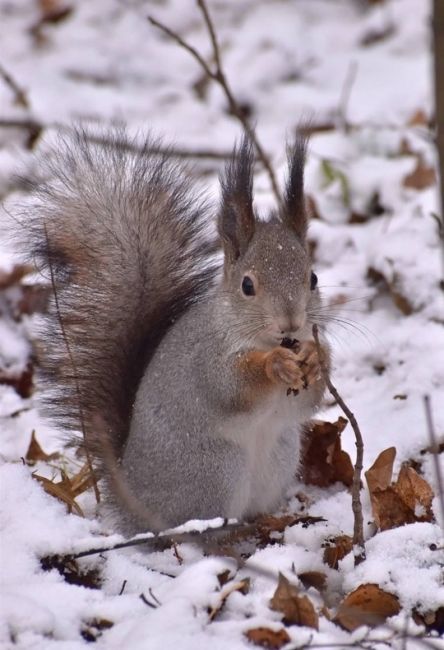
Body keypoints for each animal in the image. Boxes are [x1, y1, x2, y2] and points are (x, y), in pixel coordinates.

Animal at [17, 126, 330, 532]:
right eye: (247, 285)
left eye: (313, 278)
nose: (291, 323)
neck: (260, 338)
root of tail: (131, 500)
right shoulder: (207, 358)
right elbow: (230, 386)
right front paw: (275, 364)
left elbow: (307, 402)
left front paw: (315, 357)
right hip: (214, 470)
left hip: (279, 457)